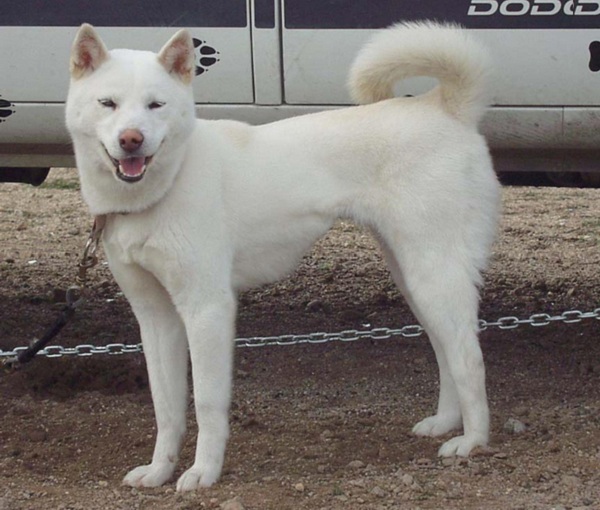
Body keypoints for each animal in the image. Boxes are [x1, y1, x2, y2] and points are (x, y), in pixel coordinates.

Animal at [65, 21, 500, 492]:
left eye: (155, 105)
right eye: (108, 103)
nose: (132, 140)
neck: (165, 185)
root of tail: (444, 107)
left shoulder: (207, 310)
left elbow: (206, 403)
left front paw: (204, 471)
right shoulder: (156, 318)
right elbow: (166, 407)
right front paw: (160, 469)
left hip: (434, 276)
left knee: (469, 358)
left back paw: (473, 441)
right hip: (415, 280)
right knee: (447, 352)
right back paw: (446, 423)